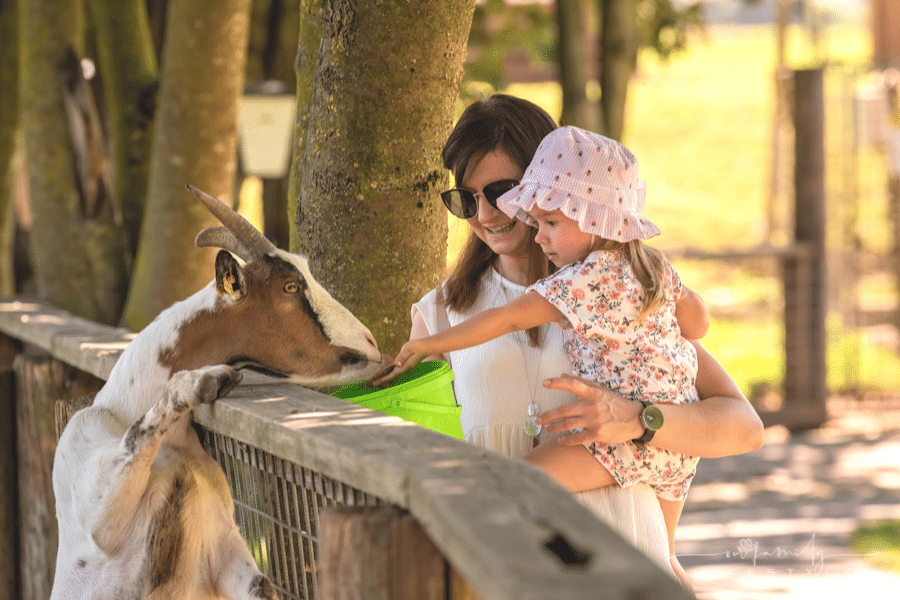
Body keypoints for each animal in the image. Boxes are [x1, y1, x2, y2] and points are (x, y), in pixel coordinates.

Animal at [50, 185, 384, 600]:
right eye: (290, 286)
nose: (371, 344)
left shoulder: (223, 548)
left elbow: (262, 587)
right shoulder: (96, 516)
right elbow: (138, 435)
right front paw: (207, 379)